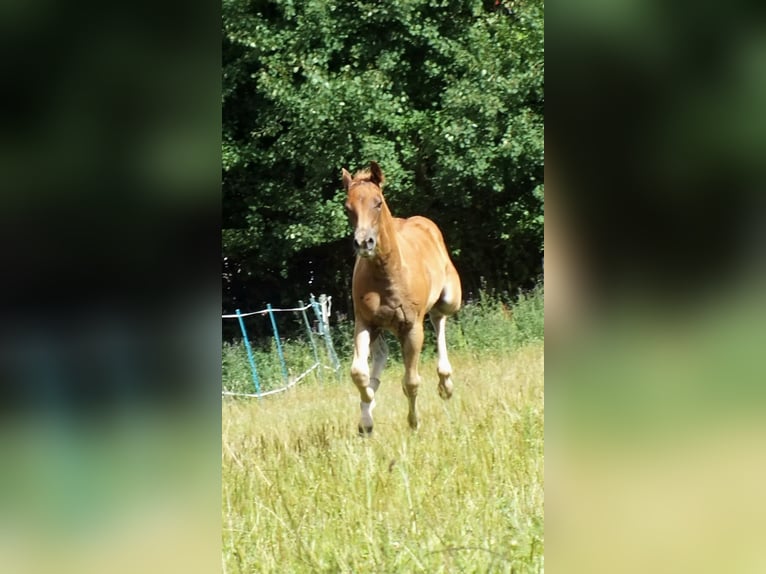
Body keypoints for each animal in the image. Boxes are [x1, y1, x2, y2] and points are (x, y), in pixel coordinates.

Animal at [342, 161, 462, 434]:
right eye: (348, 208)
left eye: (378, 202)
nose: (363, 243)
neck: (387, 274)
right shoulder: (364, 322)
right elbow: (359, 373)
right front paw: (367, 413)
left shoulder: (412, 327)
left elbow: (411, 381)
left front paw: (414, 423)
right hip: (382, 326)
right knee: (380, 354)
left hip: (451, 298)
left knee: (439, 318)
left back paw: (446, 384)